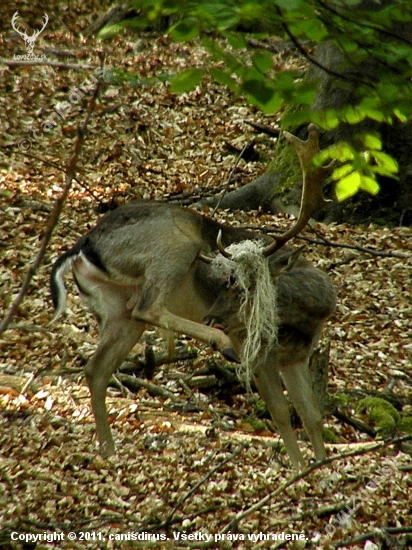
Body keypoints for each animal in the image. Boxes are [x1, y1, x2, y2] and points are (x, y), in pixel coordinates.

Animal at [50, 126, 334, 470]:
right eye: (224, 279)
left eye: (249, 287)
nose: (215, 315)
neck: (303, 319)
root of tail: (82, 245)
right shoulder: (258, 353)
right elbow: (281, 412)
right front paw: (299, 469)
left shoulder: (298, 356)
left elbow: (311, 415)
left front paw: (321, 467)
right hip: (175, 245)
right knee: (148, 308)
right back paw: (217, 340)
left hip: (115, 308)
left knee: (97, 368)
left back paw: (108, 450)